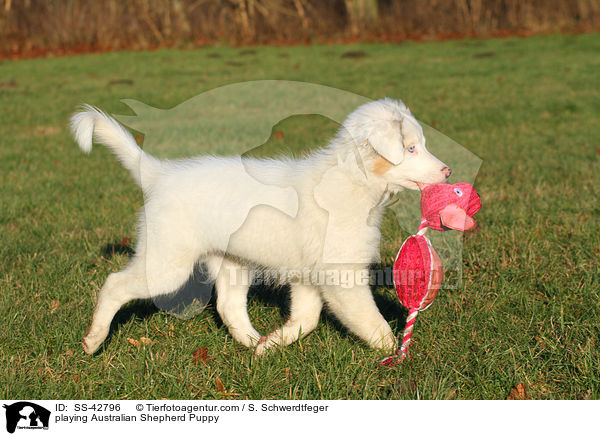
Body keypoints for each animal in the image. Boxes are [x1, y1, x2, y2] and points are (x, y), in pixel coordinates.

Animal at [70, 99, 448, 354]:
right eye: (410, 148)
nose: (446, 172)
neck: (351, 184)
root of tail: (158, 174)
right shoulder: (342, 278)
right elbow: (372, 322)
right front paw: (394, 356)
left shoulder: (308, 276)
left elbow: (306, 319)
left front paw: (272, 345)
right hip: (167, 263)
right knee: (114, 285)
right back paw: (93, 340)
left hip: (232, 262)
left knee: (229, 306)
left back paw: (254, 342)